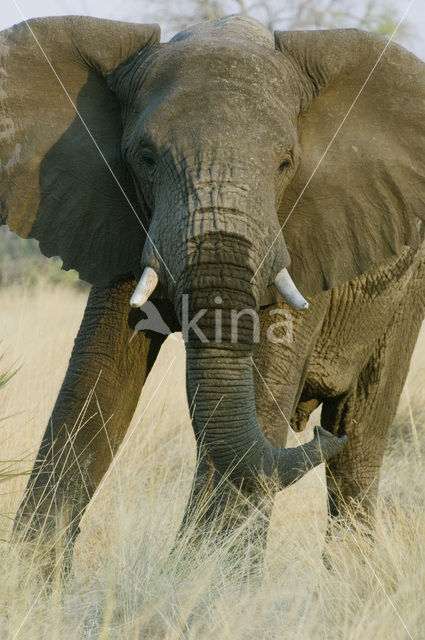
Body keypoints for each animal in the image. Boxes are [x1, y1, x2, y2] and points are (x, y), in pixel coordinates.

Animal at [0, 15, 424, 572]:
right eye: (145, 158)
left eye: (286, 163)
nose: (319, 438)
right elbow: (99, 374)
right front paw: (33, 580)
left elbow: (265, 382)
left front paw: (204, 582)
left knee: (360, 443)